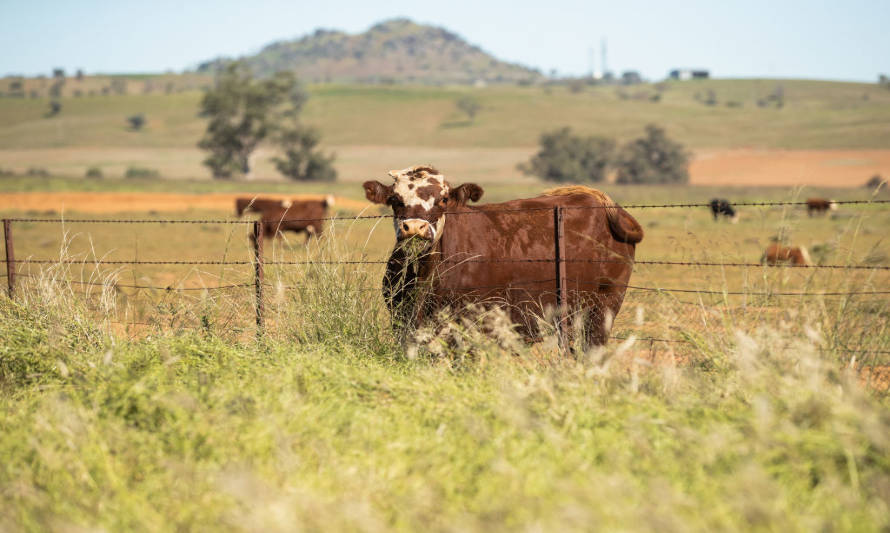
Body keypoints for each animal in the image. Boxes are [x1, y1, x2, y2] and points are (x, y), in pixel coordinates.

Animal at [362, 164, 644, 348]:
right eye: (395, 199)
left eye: (442, 200)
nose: (414, 227)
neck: (425, 273)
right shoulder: (401, 317)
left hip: (604, 306)